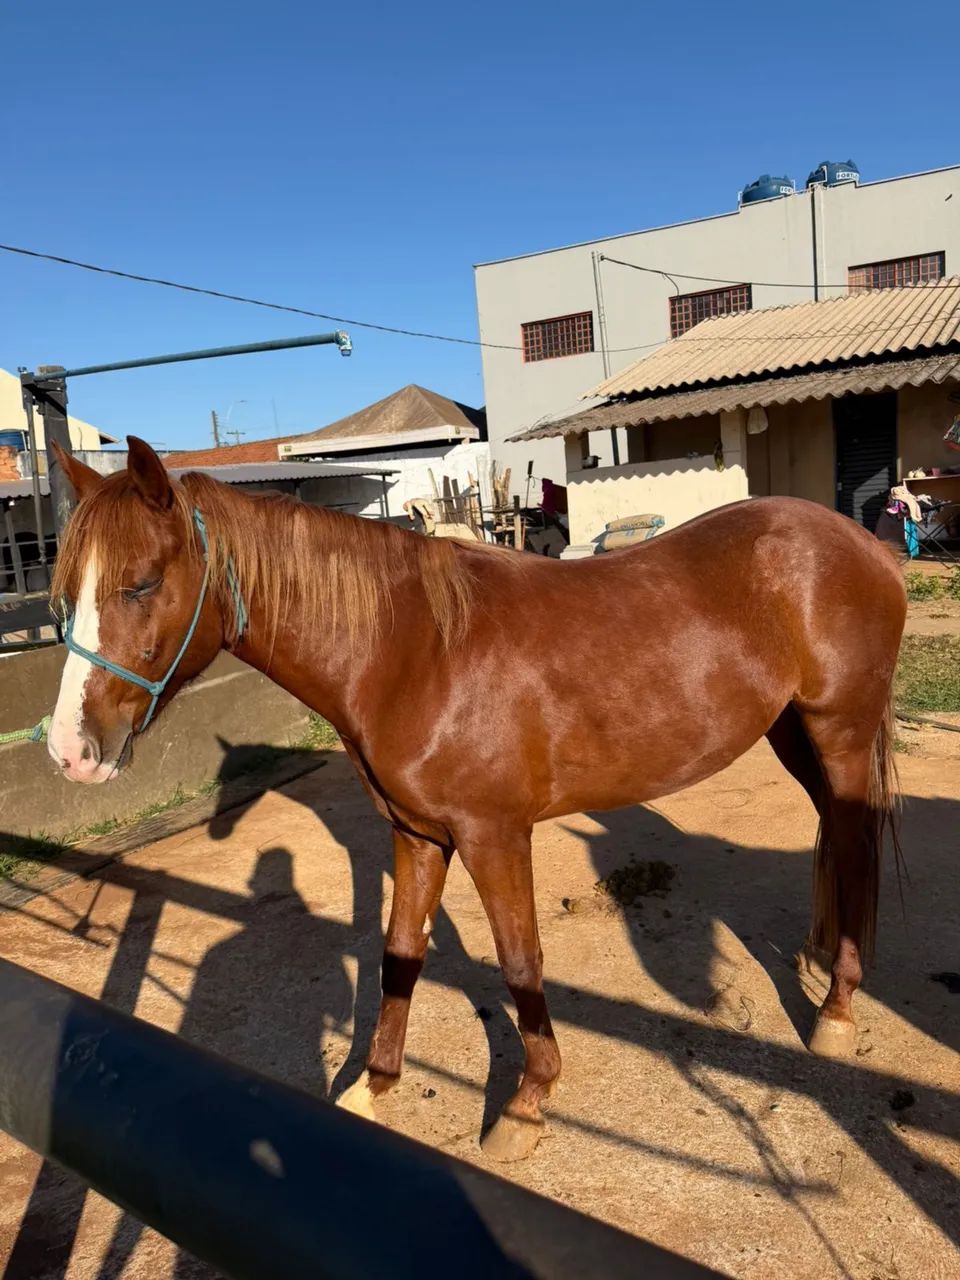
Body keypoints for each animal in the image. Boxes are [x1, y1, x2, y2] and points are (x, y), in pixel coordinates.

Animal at [47, 437, 906, 1163]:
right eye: (66, 596)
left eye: (142, 582)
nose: (69, 752)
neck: (413, 652)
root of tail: (865, 545)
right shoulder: (418, 835)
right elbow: (399, 954)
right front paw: (374, 1086)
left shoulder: (494, 835)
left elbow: (520, 961)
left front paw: (526, 1104)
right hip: (792, 733)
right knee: (836, 835)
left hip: (839, 733)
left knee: (857, 843)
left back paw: (836, 1011)